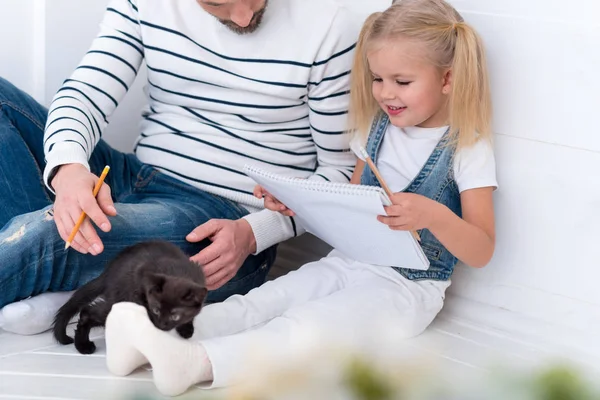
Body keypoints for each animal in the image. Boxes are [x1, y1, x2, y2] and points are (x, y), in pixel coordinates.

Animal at [54, 241, 209, 354]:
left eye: (175, 316)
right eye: (156, 310)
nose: (161, 325)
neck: (176, 272)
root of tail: (108, 272)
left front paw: (186, 328)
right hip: (120, 299)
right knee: (87, 312)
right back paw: (83, 345)